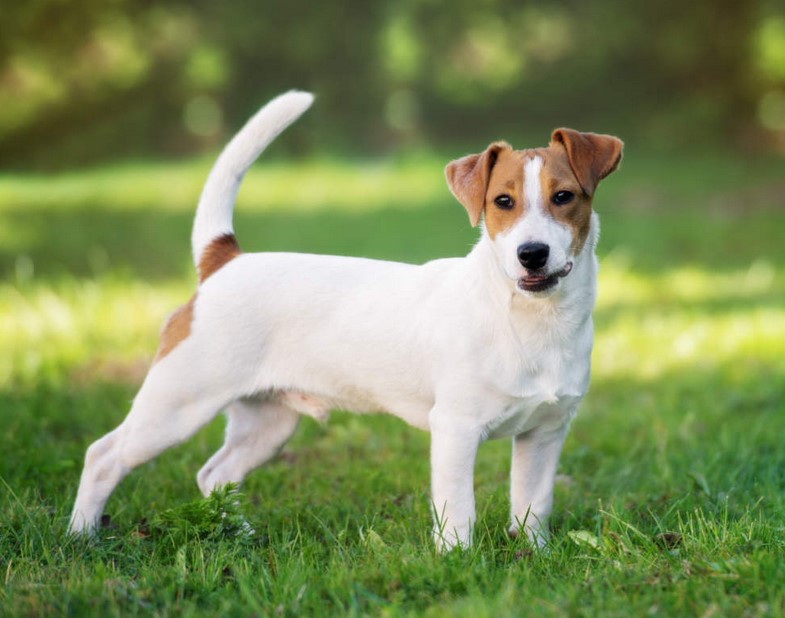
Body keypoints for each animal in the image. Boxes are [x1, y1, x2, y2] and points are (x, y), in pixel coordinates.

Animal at [70, 89, 624, 548]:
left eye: (563, 197)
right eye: (501, 202)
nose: (532, 254)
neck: (531, 322)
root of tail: (223, 262)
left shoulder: (544, 435)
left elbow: (533, 506)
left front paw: (535, 556)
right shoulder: (455, 430)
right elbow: (458, 511)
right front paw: (457, 561)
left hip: (267, 423)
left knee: (216, 475)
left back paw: (240, 536)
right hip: (176, 405)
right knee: (104, 455)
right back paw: (81, 537)